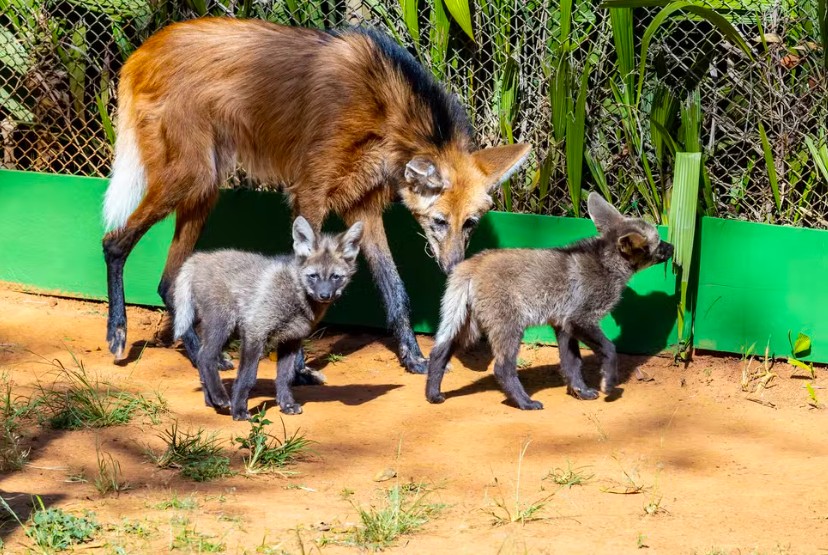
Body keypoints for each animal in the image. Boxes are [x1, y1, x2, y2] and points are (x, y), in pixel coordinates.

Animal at [173, 216, 363, 419]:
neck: (295, 295)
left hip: (229, 332)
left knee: (202, 358)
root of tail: (200, 257)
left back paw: (211, 401)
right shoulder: (255, 332)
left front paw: (287, 405)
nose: (325, 295)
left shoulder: (291, 340)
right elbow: (247, 378)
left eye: (336, 277)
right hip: (223, 325)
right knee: (205, 357)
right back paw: (220, 397)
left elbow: (284, 378)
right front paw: (239, 411)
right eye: (313, 276)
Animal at [425, 192, 674, 410]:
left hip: (468, 328)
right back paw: (524, 403)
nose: (673, 247)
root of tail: (472, 264)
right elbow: (610, 349)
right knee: (502, 368)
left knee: (438, 352)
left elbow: (572, 365)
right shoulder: (581, 320)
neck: (606, 265)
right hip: (509, 329)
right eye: (659, 242)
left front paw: (581, 391)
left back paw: (432, 394)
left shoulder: (564, 326)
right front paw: (609, 383)